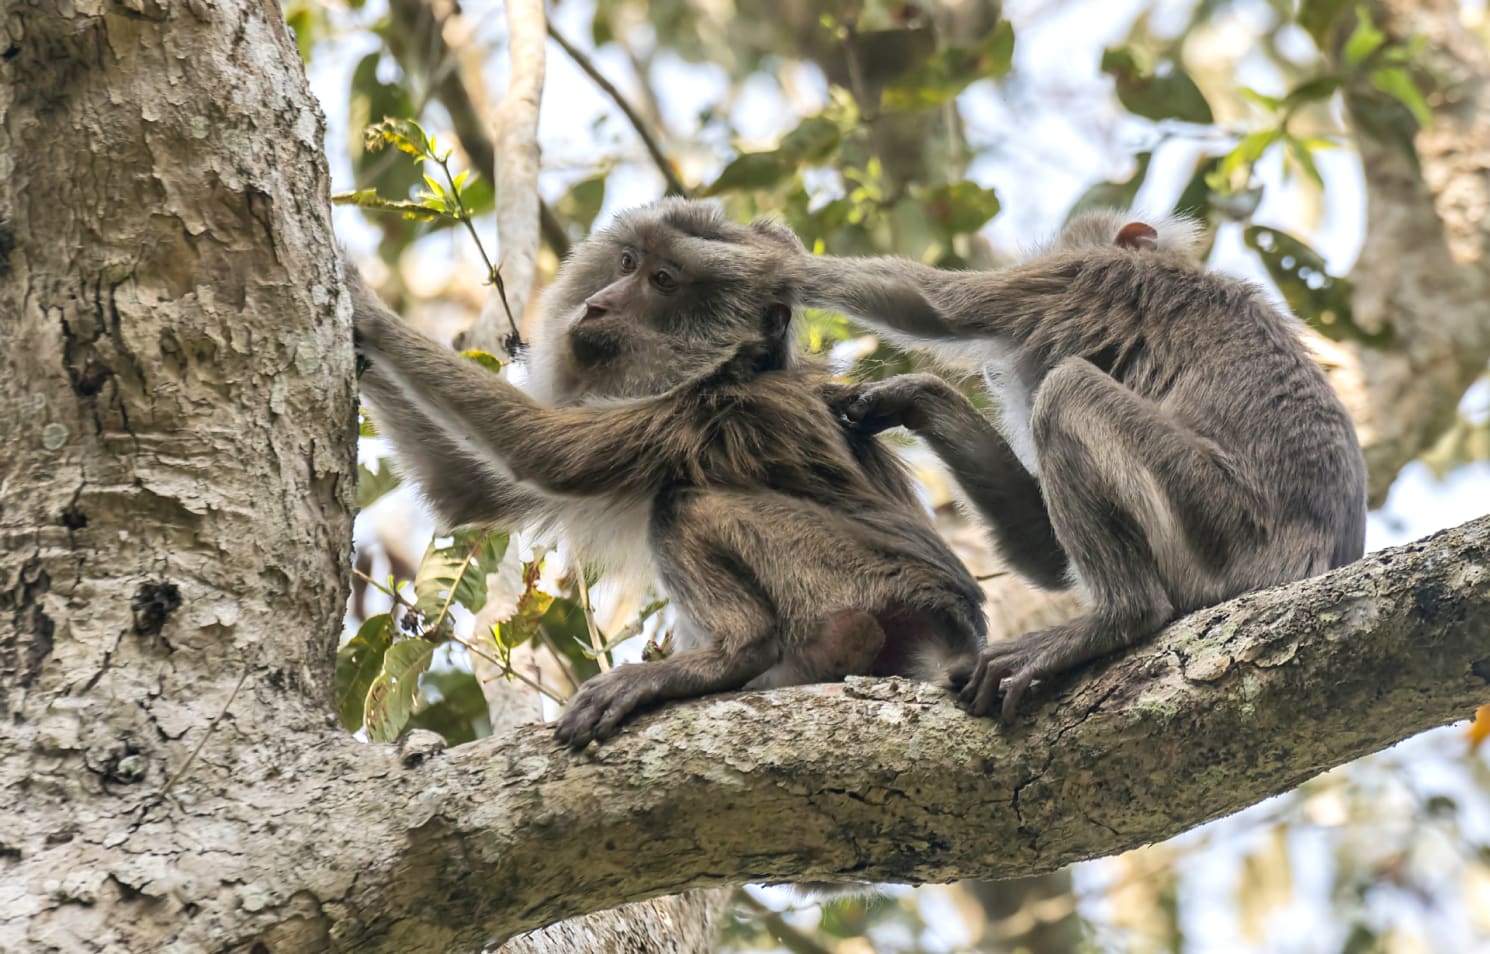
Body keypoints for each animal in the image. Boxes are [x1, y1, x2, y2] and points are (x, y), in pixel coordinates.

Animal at [351, 196, 989, 745]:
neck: (733, 365)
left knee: (686, 503)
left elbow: (544, 452)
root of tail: (959, 629)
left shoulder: (700, 407)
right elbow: (464, 488)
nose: (599, 302)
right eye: (627, 263)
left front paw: (362, 307)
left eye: (662, 282)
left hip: (863, 578)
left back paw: (730, 655)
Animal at [798, 210, 1364, 721]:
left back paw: (1121, 617)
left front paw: (781, 258)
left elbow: (933, 305)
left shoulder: (1086, 275)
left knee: (1066, 389)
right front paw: (918, 398)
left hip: (1219, 525)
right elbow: (1043, 549)